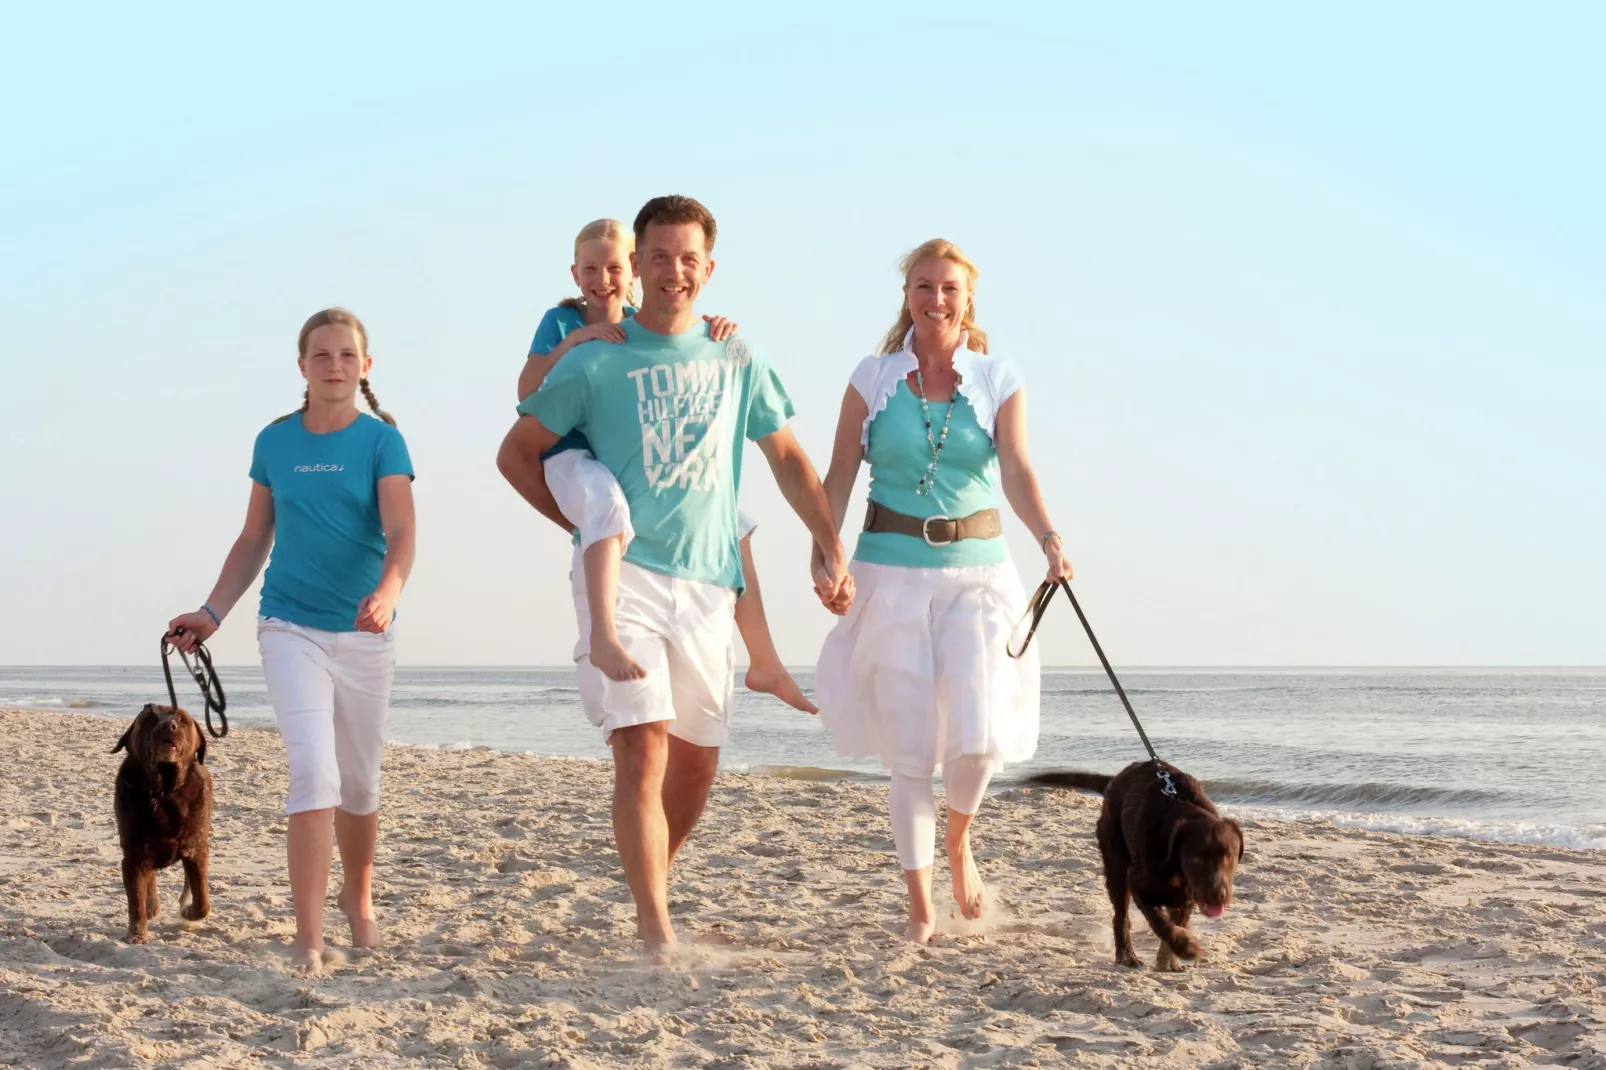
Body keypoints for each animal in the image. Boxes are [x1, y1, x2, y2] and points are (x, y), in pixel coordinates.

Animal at [113, 703, 211, 938]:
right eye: (150, 718)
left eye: (182, 720)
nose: (169, 725)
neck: (164, 793)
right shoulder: (134, 855)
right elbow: (136, 899)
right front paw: (138, 935)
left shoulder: (196, 849)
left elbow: (202, 900)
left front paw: (189, 911)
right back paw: (151, 907)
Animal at [1027, 758, 1239, 963]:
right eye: (1196, 858)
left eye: (1229, 857)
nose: (1218, 896)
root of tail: (1115, 780)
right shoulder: (1138, 884)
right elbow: (1160, 923)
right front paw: (1185, 947)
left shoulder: (1187, 896)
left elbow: (1179, 922)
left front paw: (1169, 958)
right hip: (1115, 865)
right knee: (1120, 916)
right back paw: (1126, 956)